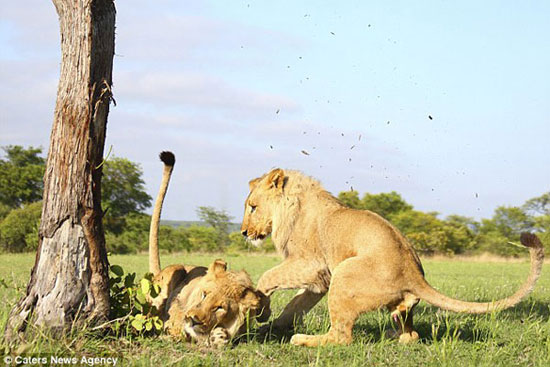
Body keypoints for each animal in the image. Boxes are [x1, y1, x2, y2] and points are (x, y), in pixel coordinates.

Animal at [148, 152, 270, 348]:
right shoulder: (176, 316)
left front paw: (219, 336)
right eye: (204, 295)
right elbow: (176, 328)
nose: (192, 319)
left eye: (219, 307)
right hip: (174, 272)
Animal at [243, 170, 548, 348]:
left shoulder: (311, 264)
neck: (293, 204)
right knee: (411, 335)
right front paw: (272, 324)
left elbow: (268, 277)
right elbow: (296, 304)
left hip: (344, 273)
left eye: (253, 207)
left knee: (341, 337)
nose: (244, 232)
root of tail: (414, 273)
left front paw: (262, 310)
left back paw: (302, 340)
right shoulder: (321, 279)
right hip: (374, 293)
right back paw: (394, 333)